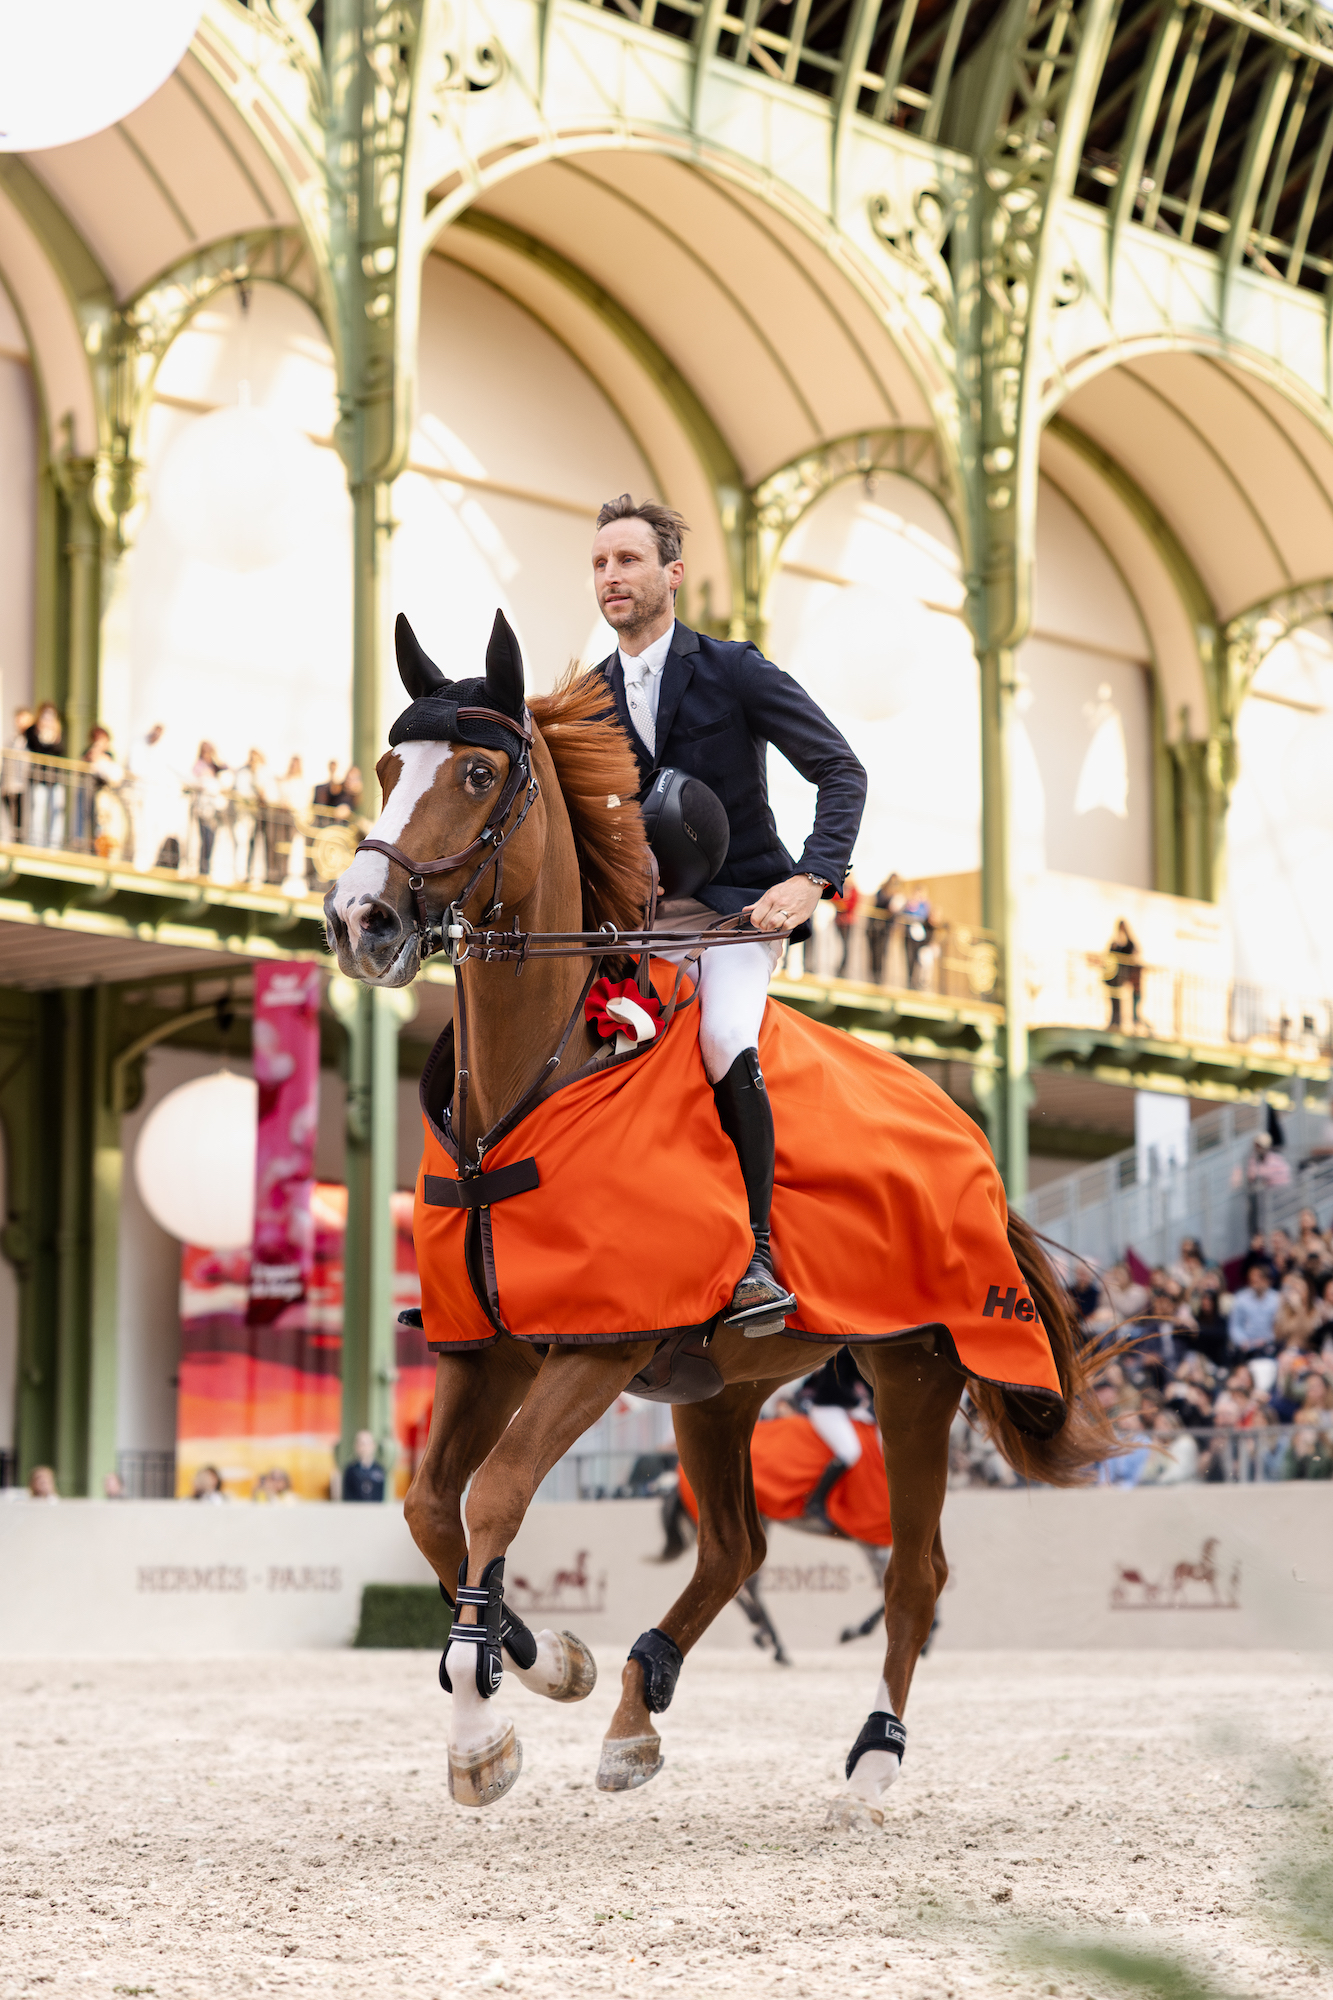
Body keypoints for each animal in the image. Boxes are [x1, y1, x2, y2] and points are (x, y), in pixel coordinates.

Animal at [325, 608, 1119, 1817]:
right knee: (735, 1547)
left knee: (916, 1569)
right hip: (717, 1389)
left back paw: (873, 1755)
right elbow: (431, 1509)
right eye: (383, 768)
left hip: (914, 1369)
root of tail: (966, 1124)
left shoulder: (598, 1348)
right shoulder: (488, 1348)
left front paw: (480, 1731)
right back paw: (633, 1709)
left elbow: (495, 1496)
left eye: (475, 771)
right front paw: (543, 1660)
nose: (359, 919)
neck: (531, 1087)